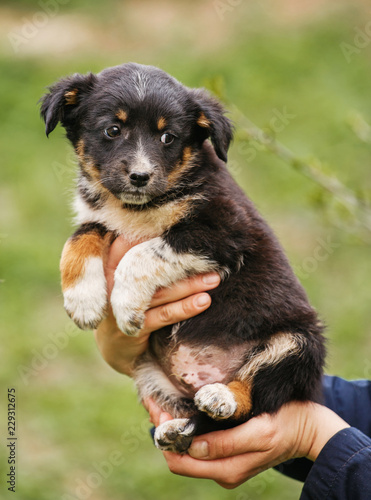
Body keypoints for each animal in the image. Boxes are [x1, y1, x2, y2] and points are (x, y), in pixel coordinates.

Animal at [40, 62, 326, 454]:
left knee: (254, 399)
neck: (137, 207)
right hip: (149, 372)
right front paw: (83, 300)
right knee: (198, 417)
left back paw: (222, 396)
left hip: (299, 344)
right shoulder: (100, 218)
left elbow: (143, 252)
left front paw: (126, 307)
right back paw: (176, 431)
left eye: (168, 138)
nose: (140, 177)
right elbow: (77, 240)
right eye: (112, 130)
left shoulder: (223, 228)